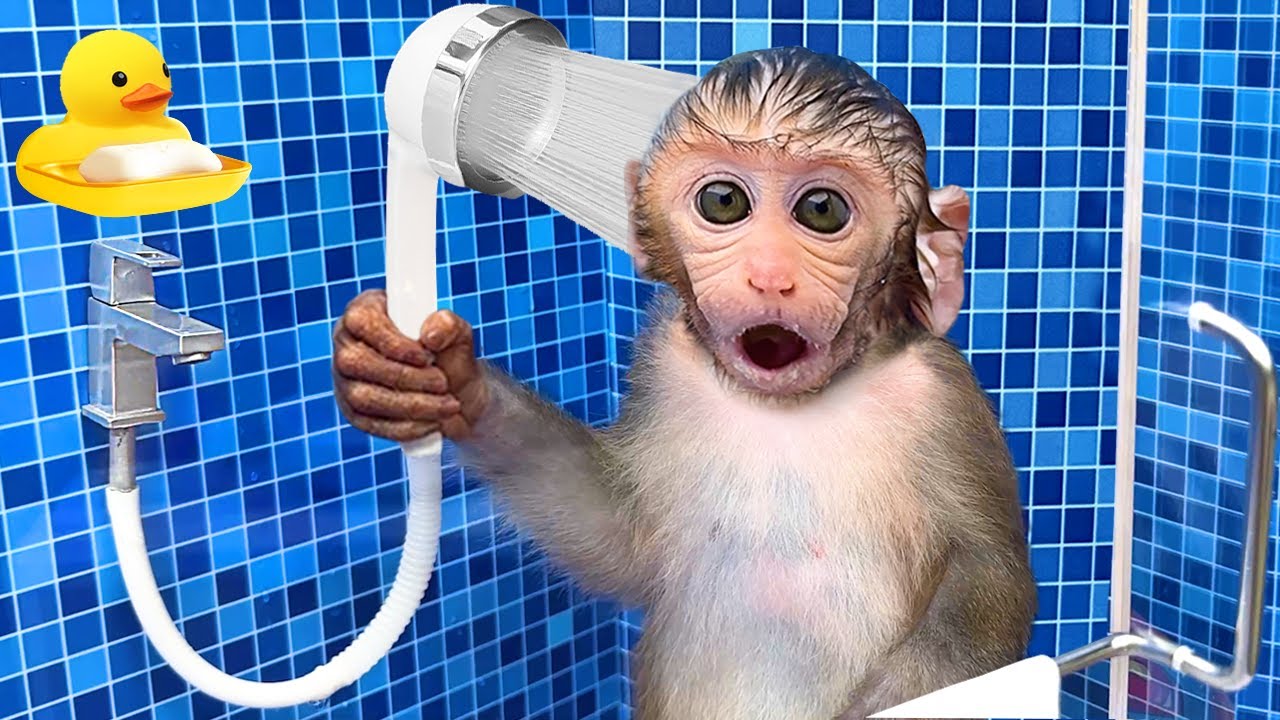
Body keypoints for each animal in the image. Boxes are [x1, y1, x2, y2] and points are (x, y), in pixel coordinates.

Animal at [333, 48, 1036, 720]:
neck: (790, 404)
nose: (769, 275)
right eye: (723, 202)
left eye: (822, 210)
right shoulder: (663, 366)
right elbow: (620, 538)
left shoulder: (942, 399)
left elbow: (991, 583)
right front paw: (452, 383)